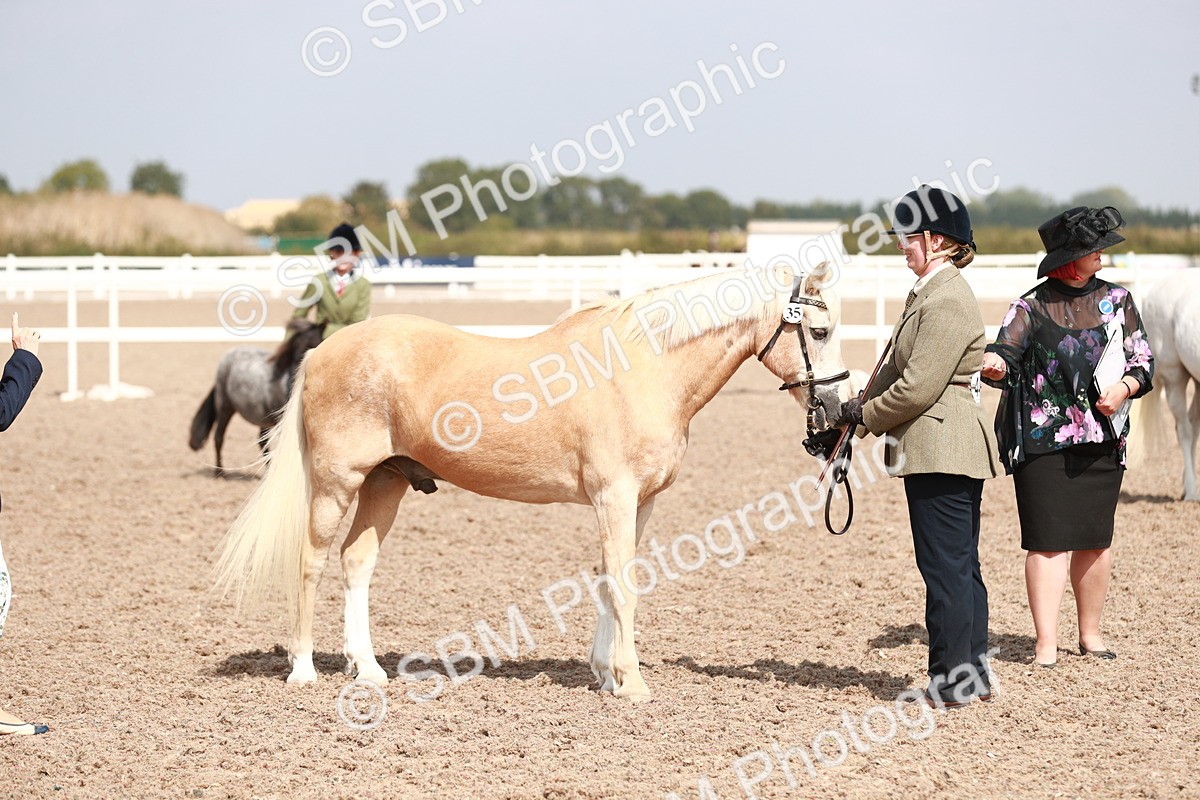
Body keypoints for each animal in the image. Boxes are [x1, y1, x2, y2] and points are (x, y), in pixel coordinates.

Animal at [189, 319, 326, 474]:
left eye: (322, 339)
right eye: (308, 344)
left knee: (261, 442)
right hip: (225, 408)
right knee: (219, 437)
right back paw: (220, 472)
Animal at [213, 264, 851, 699]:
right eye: (818, 330)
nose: (837, 407)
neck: (645, 367)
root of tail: (323, 351)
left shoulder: (639, 503)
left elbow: (610, 578)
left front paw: (605, 674)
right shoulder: (615, 497)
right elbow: (622, 583)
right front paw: (631, 682)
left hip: (384, 483)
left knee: (356, 562)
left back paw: (366, 670)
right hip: (336, 483)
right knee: (311, 561)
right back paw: (302, 669)